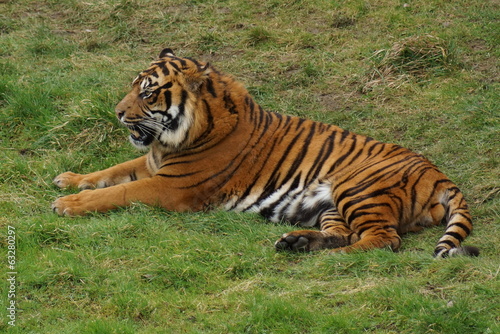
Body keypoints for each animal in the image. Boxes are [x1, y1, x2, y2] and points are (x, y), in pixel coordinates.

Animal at [52, 48, 478, 258]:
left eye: (148, 92)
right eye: (133, 87)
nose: (117, 113)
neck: (174, 139)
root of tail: (440, 174)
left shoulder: (169, 187)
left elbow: (117, 190)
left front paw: (67, 204)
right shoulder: (153, 162)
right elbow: (113, 170)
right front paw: (69, 179)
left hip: (357, 189)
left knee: (383, 241)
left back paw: (327, 257)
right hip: (332, 207)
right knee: (345, 234)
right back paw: (298, 244)